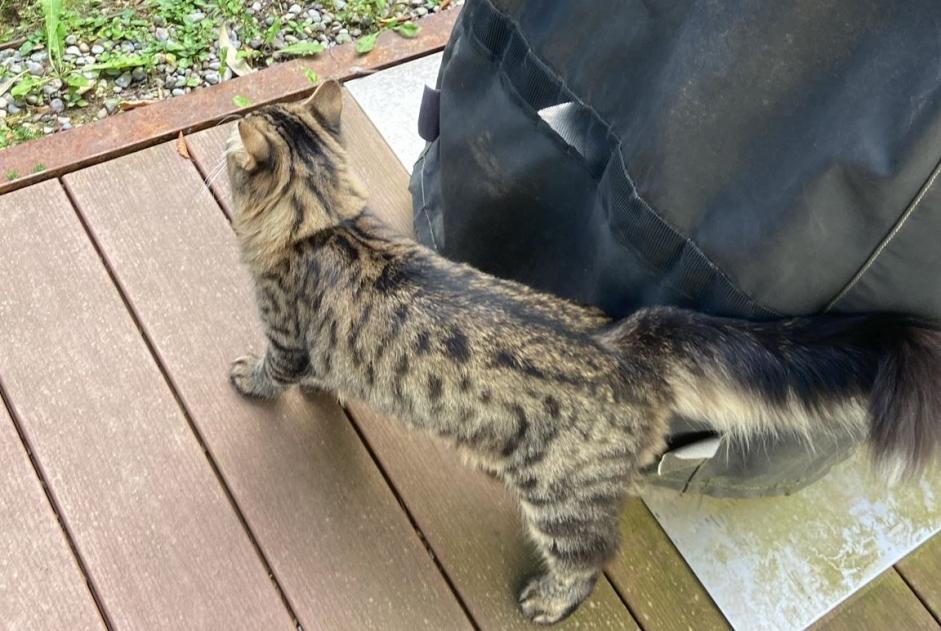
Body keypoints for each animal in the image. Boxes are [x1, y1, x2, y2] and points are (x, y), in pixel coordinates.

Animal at [226, 80, 940, 628]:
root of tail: (627, 342)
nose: (227, 141)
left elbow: (272, 373)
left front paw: (246, 378)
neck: (328, 221)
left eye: (233, 152)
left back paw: (547, 601)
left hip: (561, 501)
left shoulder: (285, 338)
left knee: (591, 559)